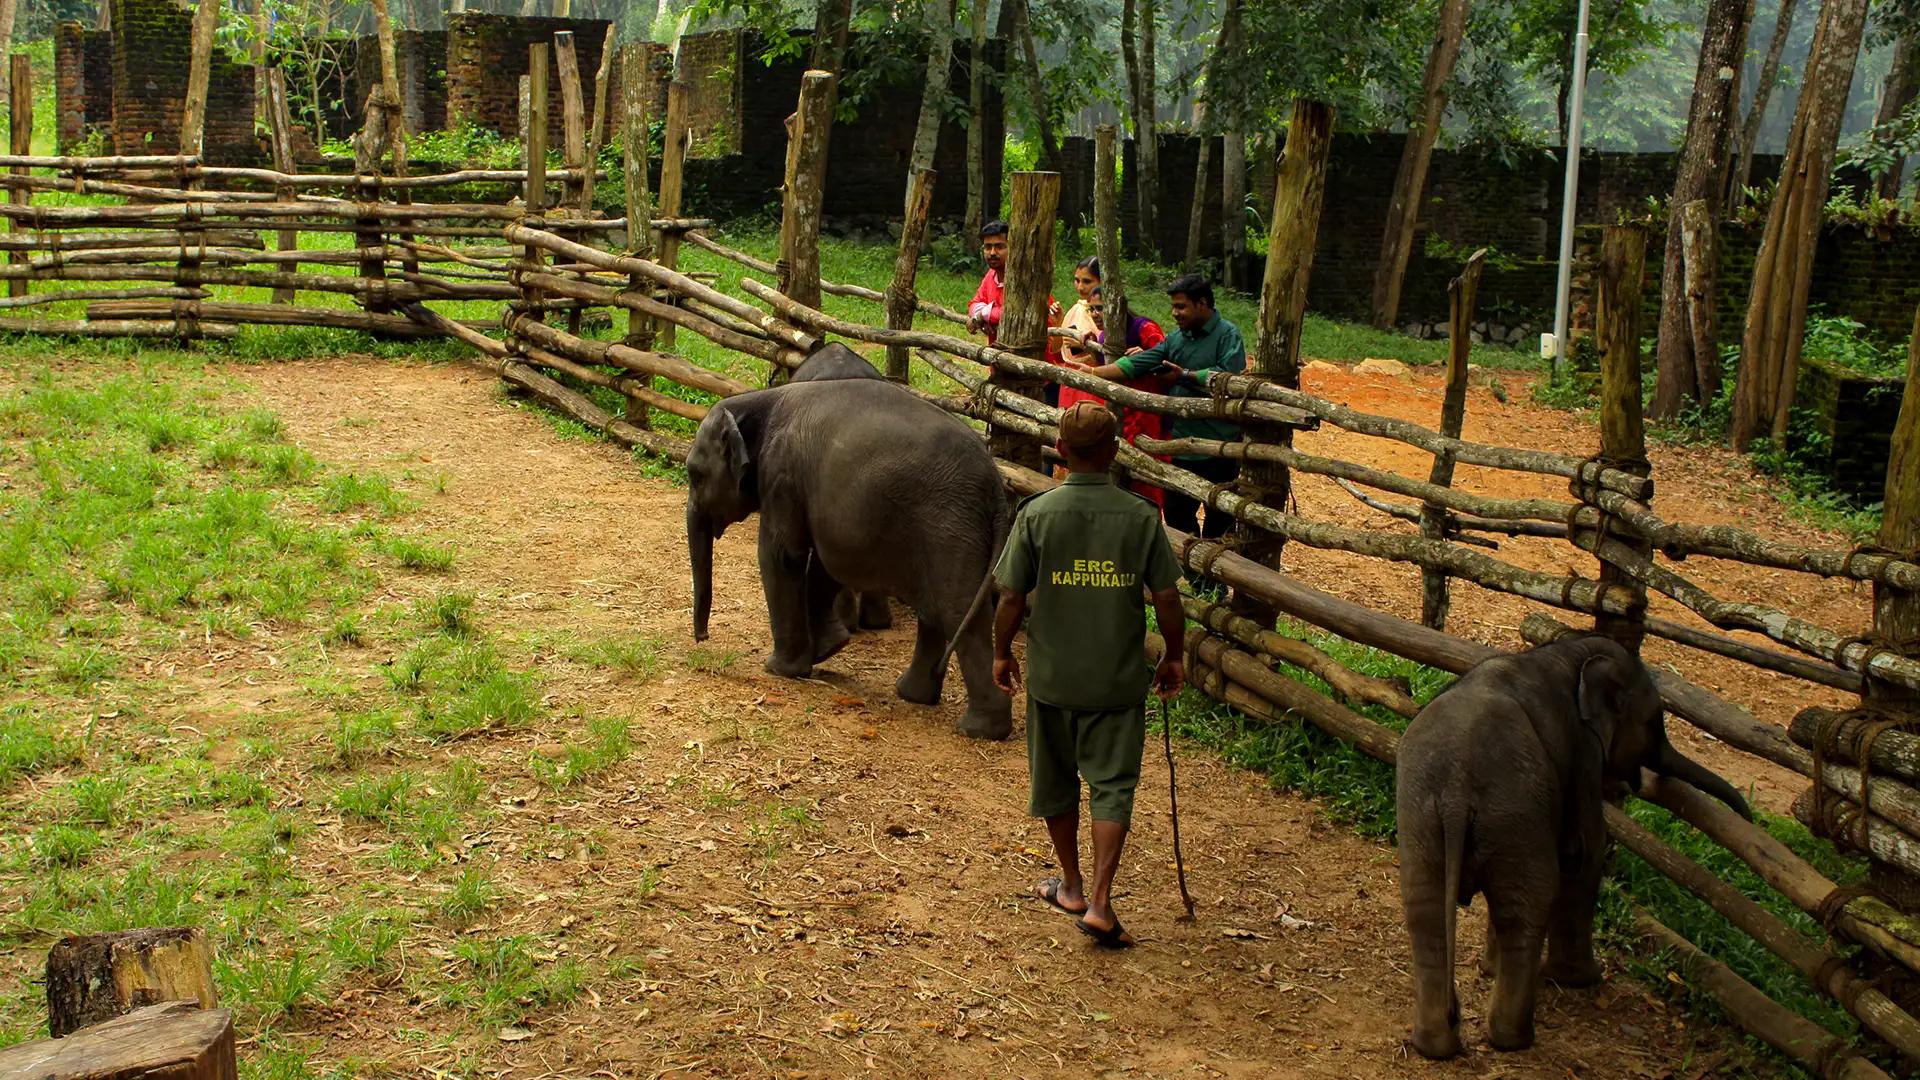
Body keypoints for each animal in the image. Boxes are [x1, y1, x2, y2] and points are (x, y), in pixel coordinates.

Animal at [683, 374, 1013, 734]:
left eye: (694, 475)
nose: (702, 638)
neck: (758, 400)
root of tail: (997, 487)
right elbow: (825, 565)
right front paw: (827, 650)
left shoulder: (782, 475)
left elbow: (783, 556)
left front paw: (779, 669)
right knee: (935, 610)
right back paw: (913, 695)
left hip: (950, 531)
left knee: (958, 611)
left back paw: (980, 729)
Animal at [1390, 634, 1751, 1053]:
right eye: (1653, 720)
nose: (1747, 818)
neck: (1568, 652)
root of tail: (1456, 793)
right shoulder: (1584, 753)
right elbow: (1585, 851)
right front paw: (1582, 978)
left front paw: (1489, 970)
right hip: (1510, 809)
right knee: (1528, 902)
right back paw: (1514, 1039)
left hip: (1423, 814)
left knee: (1427, 907)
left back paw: (1435, 1046)